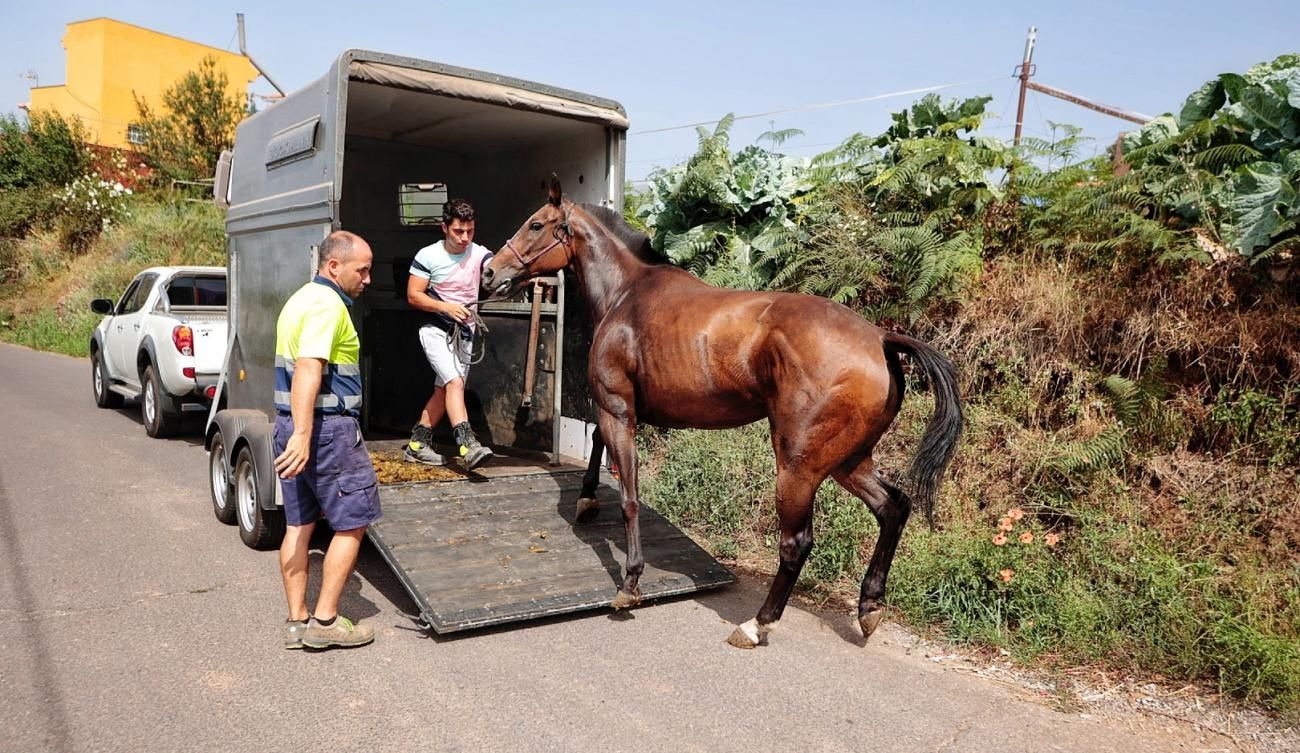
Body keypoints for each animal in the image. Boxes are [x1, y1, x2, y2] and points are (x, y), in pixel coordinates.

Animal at [483, 178, 961, 647]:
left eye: (536, 224)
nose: (490, 271)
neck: (627, 294)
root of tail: (879, 339)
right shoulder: (621, 409)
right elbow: (601, 449)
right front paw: (586, 500)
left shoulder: (616, 409)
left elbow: (630, 497)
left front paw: (630, 583)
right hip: (849, 461)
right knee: (893, 508)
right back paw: (869, 607)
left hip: (799, 467)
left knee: (797, 542)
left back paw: (757, 625)